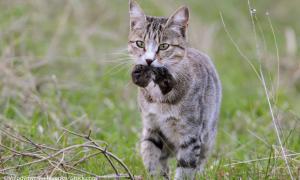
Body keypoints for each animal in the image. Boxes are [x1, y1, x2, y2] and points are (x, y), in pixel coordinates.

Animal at [127, 0, 221, 179]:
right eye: (140, 44)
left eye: (164, 46)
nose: (149, 60)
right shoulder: (152, 127)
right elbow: (152, 158)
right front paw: (156, 173)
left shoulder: (190, 134)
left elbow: (186, 167)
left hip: (207, 136)